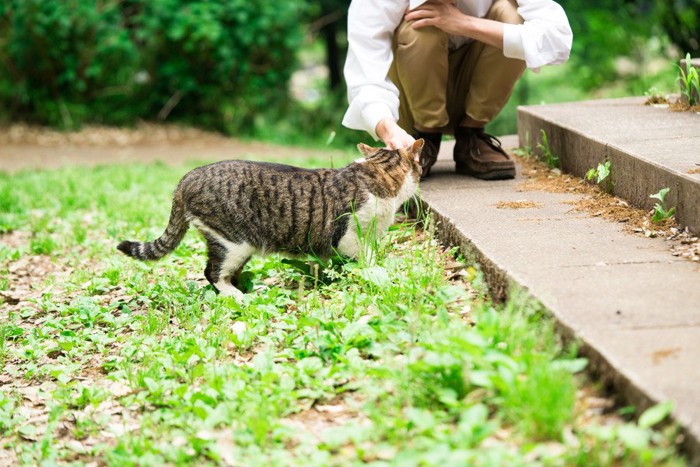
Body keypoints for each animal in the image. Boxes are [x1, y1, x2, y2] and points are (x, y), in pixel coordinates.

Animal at [117, 139, 424, 302]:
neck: (376, 172)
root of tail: (188, 177)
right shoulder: (348, 237)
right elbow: (368, 259)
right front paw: (377, 273)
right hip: (234, 242)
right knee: (212, 273)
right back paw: (239, 297)